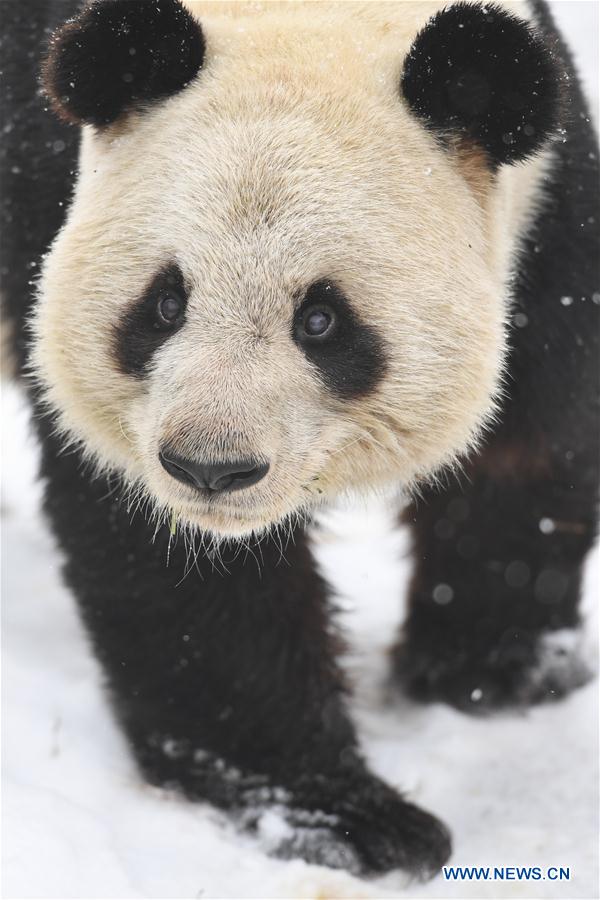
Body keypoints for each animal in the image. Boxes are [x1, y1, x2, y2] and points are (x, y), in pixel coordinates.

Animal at [2, 0, 596, 880]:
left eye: (321, 319)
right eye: (165, 303)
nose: (210, 469)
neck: (306, 16)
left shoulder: (546, 199)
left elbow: (536, 436)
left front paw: (492, 668)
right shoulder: (49, 187)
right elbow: (186, 580)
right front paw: (345, 816)